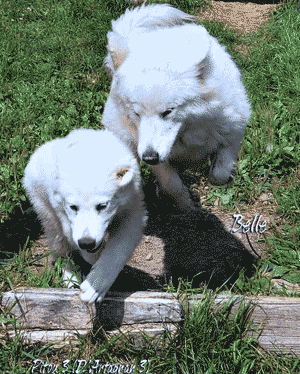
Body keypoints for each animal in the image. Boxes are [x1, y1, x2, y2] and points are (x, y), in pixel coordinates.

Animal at [23, 129, 146, 304]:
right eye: (73, 206)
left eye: (102, 205)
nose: (87, 242)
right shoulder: (60, 207)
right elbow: (71, 235)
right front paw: (92, 258)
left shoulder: (132, 198)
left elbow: (127, 234)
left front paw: (95, 286)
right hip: (39, 197)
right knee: (57, 236)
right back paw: (70, 277)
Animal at [102, 3, 251, 210]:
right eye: (137, 114)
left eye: (168, 112)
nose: (149, 157)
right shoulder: (153, 156)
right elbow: (171, 184)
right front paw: (187, 204)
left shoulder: (234, 130)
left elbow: (219, 173)